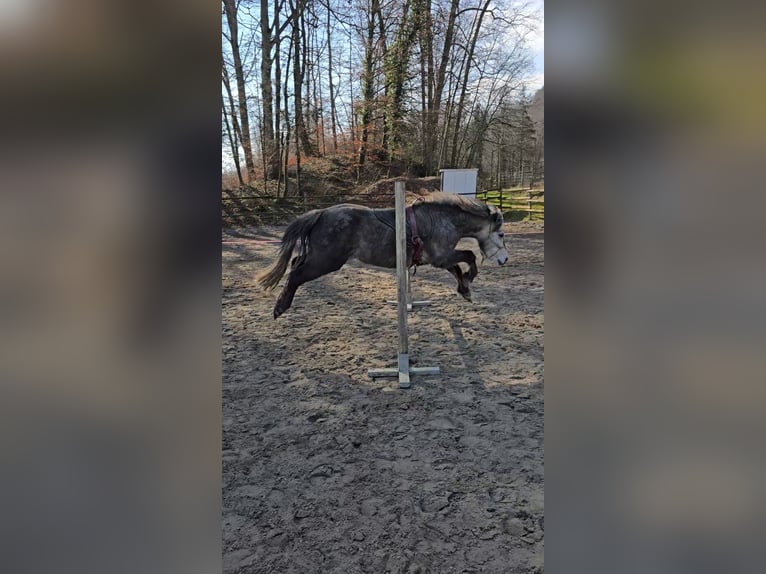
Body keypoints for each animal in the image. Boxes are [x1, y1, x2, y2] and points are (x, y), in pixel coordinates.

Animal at [256, 192, 510, 320]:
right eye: (501, 233)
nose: (505, 259)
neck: (443, 219)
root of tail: (321, 213)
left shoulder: (442, 258)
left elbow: (458, 268)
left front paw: (464, 290)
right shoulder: (443, 256)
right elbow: (469, 257)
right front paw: (469, 281)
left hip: (319, 257)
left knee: (295, 264)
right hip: (326, 261)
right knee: (296, 274)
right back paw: (280, 307)